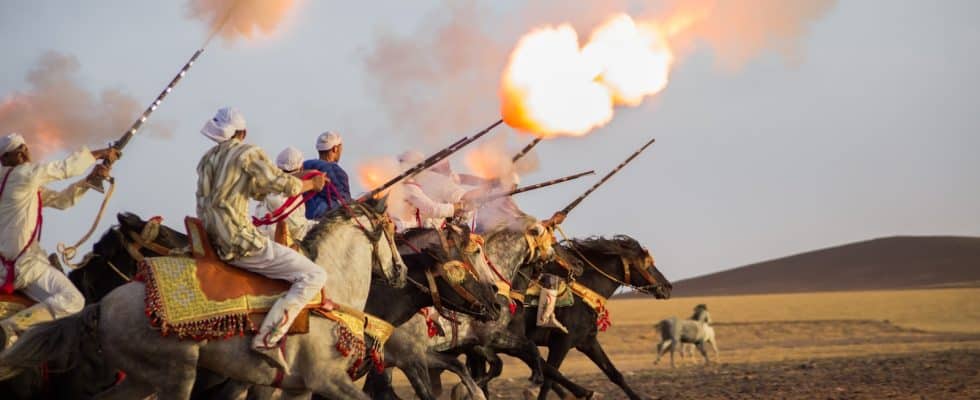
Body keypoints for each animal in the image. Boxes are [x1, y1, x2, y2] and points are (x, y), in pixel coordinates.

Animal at [0, 198, 406, 398]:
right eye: (390, 230)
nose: (400, 271)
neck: (330, 294)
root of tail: (102, 305)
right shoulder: (326, 380)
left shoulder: (298, 388)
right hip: (175, 375)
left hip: (143, 379)